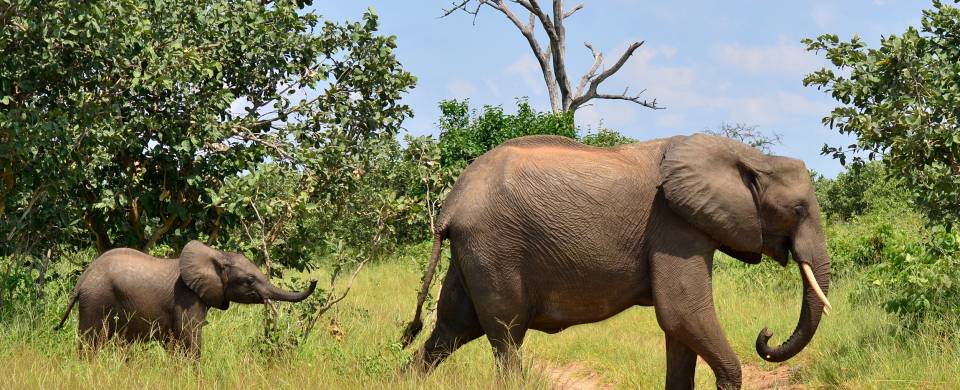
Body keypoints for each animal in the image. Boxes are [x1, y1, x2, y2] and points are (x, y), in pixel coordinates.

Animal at [54, 239, 316, 358]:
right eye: (250, 280)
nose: (314, 280)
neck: (216, 256)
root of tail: (83, 278)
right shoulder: (186, 297)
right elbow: (190, 336)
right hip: (96, 298)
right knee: (90, 340)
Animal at [402, 133, 828, 388]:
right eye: (797, 210)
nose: (766, 333)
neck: (747, 156)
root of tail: (450, 205)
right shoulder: (674, 224)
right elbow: (682, 312)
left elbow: (679, 329)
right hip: (494, 248)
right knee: (505, 337)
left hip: (473, 253)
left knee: (450, 329)